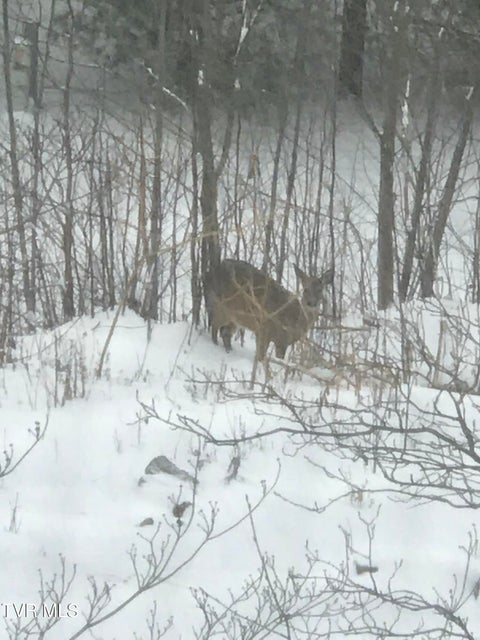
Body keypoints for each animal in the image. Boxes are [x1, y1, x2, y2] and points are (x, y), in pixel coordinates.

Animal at [205, 259, 333, 380]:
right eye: (305, 289)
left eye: (320, 290)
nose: (311, 303)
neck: (295, 320)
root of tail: (211, 272)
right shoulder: (266, 330)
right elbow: (262, 356)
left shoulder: (280, 340)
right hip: (223, 306)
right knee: (215, 325)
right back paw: (215, 345)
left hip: (236, 317)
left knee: (225, 332)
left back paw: (229, 350)